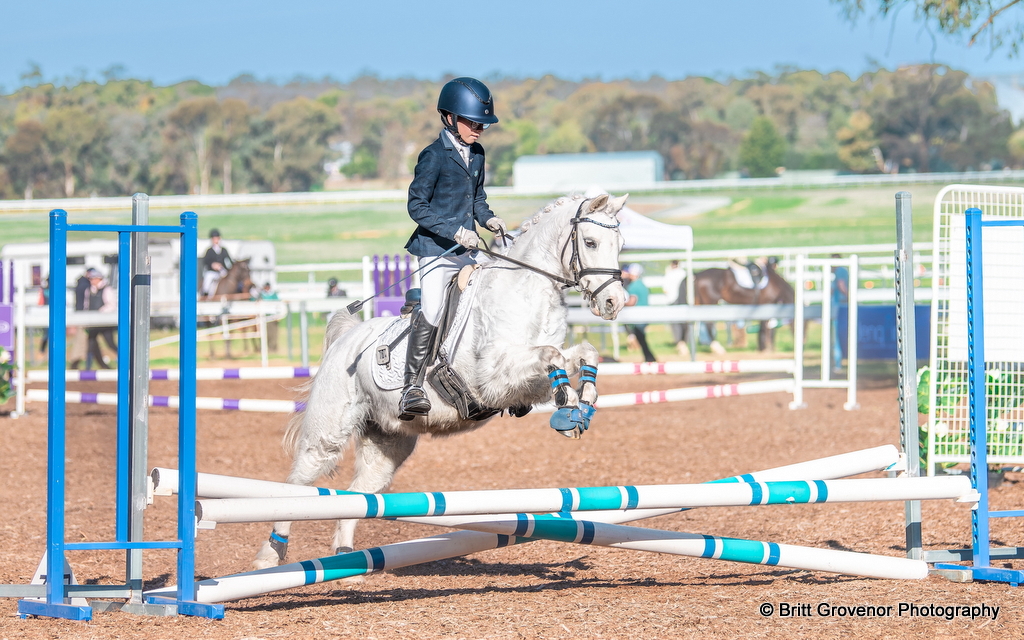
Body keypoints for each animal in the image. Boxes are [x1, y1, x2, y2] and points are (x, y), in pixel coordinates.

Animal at [252, 193, 630, 570]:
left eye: (621, 244)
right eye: (591, 242)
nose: (614, 302)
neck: (525, 291)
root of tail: (347, 337)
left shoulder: (523, 382)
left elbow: (582, 353)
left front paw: (583, 404)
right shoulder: (493, 378)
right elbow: (552, 356)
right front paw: (568, 409)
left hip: (387, 444)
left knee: (359, 495)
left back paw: (348, 562)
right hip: (327, 434)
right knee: (300, 483)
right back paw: (270, 555)